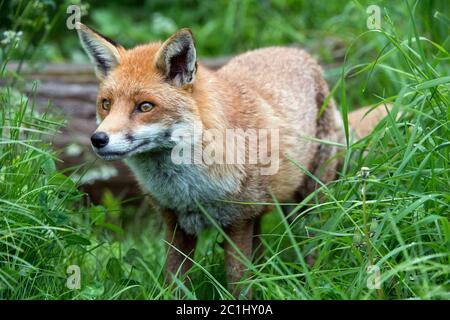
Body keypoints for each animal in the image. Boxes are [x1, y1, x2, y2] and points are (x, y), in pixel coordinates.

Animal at [76, 21, 384, 298]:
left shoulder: (238, 222)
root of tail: (299, 52)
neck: (189, 190)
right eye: (106, 104)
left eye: (145, 106)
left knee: (312, 246)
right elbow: (174, 281)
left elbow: (238, 282)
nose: (98, 139)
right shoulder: (176, 223)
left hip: (310, 202)